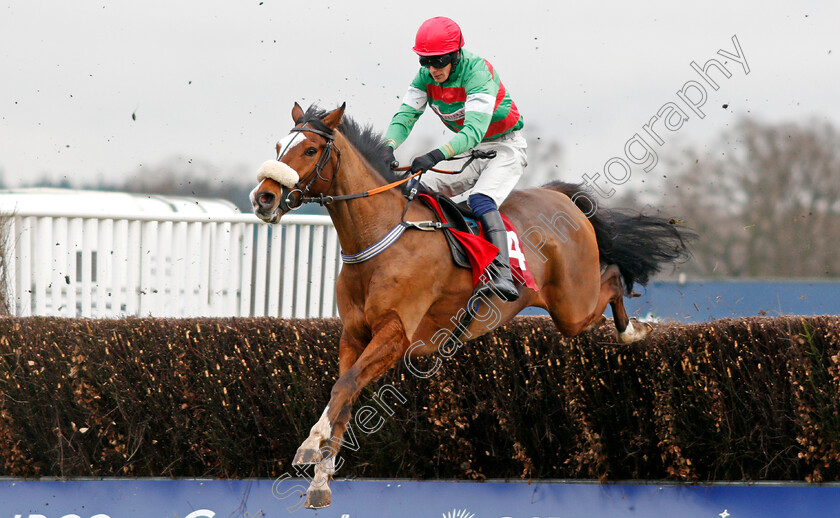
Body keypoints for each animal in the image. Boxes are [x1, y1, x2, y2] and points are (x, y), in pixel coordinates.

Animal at [251, 103, 696, 510]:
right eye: (277, 146)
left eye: (310, 149)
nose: (264, 198)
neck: (381, 237)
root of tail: (561, 196)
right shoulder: (354, 334)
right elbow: (343, 397)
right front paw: (320, 481)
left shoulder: (397, 335)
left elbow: (343, 387)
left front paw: (310, 446)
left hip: (573, 305)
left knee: (613, 278)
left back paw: (632, 330)